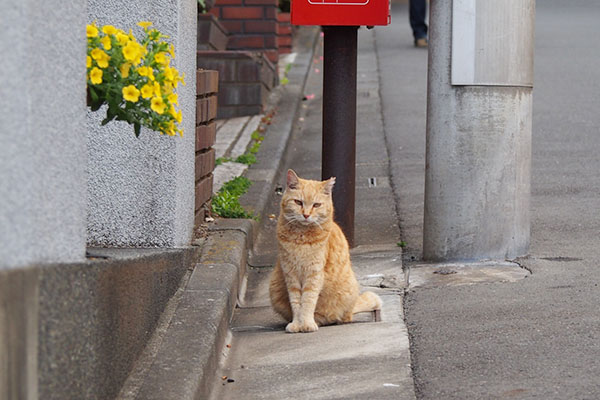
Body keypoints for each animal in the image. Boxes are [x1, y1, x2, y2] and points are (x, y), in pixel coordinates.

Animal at [270, 170, 382, 332]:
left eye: (316, 205)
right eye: (298, 202)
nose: (306, 215)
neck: (301, 238)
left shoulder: (314, 274)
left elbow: (308, 300)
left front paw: (307, 324)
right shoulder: (291, 275)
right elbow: (296, 302)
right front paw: (297, 324)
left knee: (340, 317)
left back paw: (320, 320)